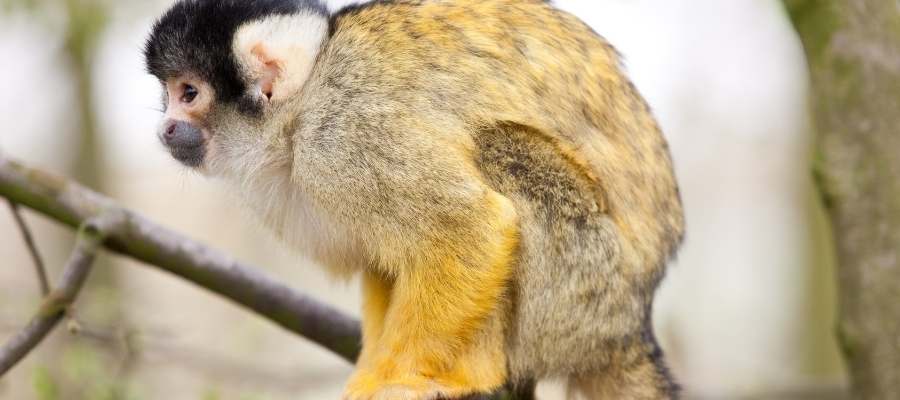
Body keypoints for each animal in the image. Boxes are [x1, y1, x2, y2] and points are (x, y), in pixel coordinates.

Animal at [144, 0, 685, 399]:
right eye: (168, 95)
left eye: (188, 93)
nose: (165, 127)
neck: (298, 113)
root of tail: (631, 330)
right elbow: (385, 260)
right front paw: (369, 374)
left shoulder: (347, 135)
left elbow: (471, 228)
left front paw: (396, 380)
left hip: (585, 295)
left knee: (502, 154)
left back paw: (475, 372)